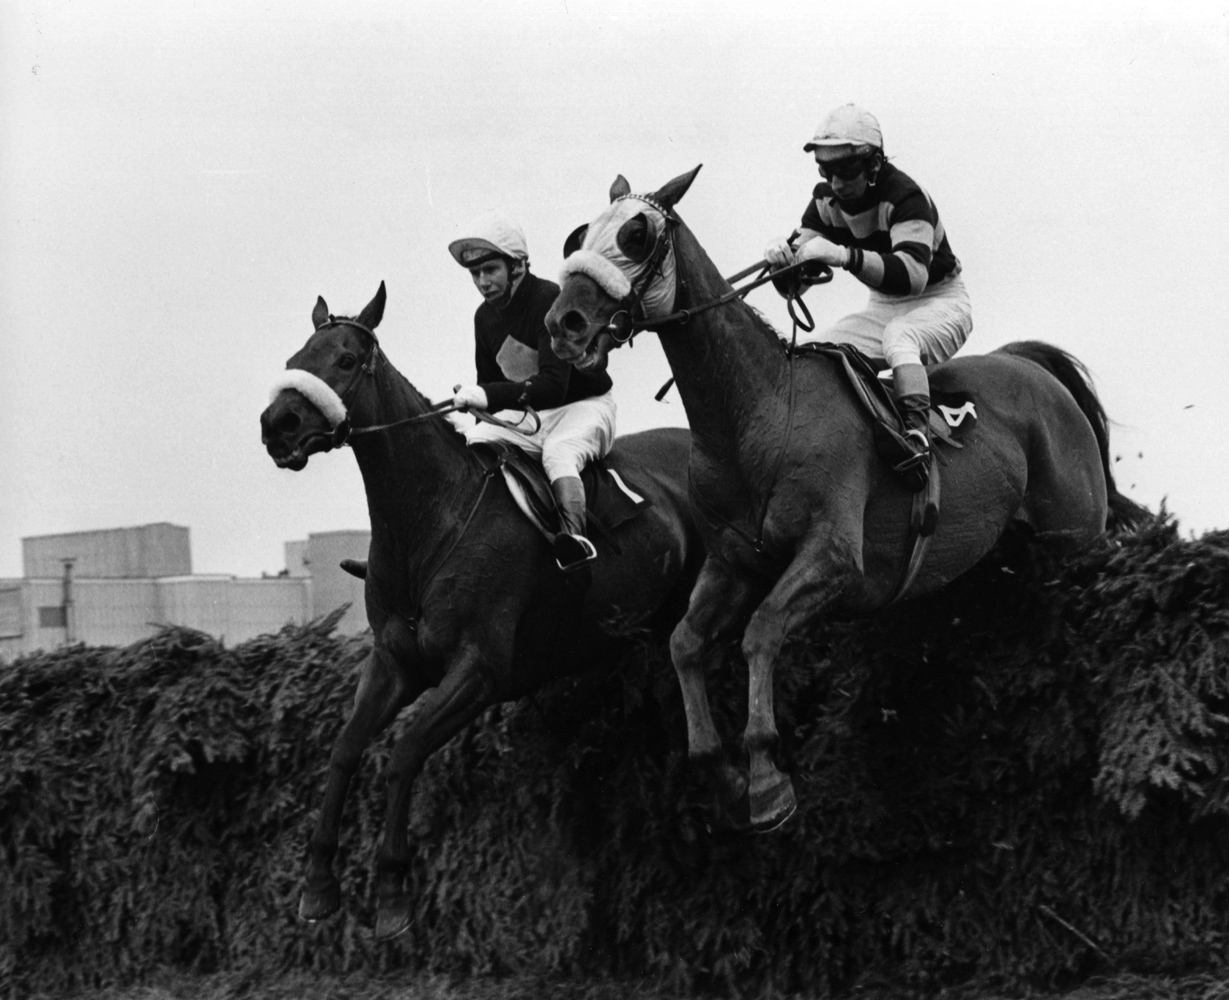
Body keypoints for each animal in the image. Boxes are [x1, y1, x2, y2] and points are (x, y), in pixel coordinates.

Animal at [259, 282, 702, 938]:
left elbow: (404, 753)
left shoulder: (480, 672)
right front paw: (316, 883)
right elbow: (344, 750)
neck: (429, 520)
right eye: (297, 354)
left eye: (345, 359)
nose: (277, 425)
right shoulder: (393, 662)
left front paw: (392, 891)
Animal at [548, 168, 1140, 835]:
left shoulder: (834, 560)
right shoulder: (731, 563)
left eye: (637, 234)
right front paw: (723, 776)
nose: (564, 323)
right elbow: (684, 644)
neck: (758, 415)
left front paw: (766, 778)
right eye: (579, 235)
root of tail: (1029, 365)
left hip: (1074, 532)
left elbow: (761, 631)